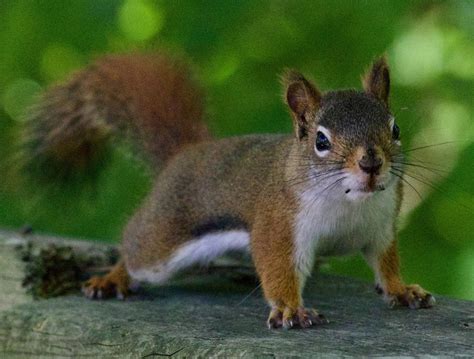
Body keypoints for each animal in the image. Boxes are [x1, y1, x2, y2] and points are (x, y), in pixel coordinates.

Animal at [24, 52, 436, 330]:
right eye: (321, 140)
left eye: (395, 129)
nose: (371, 163)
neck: (350, 202)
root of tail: (186, 154)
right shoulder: (277, 223)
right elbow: (278, 268)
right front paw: (291, 308)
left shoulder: (381, 225)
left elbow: (385, 262)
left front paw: (402, 290)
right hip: (159, 241)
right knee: (134, 248)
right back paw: (114, 278)